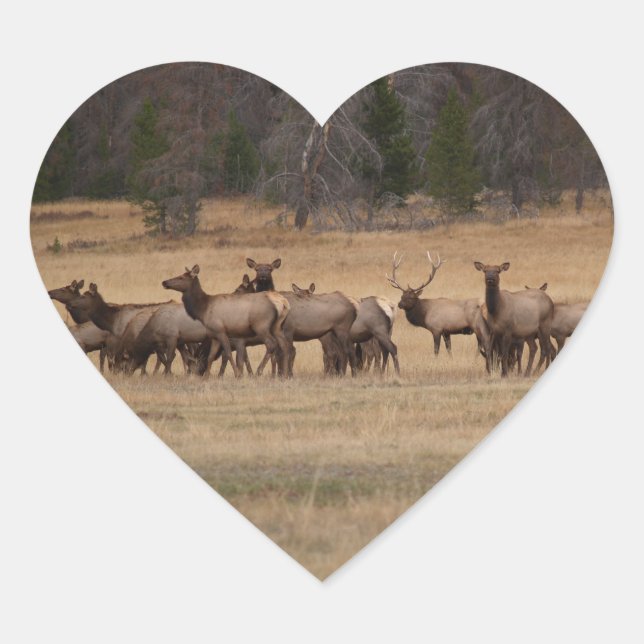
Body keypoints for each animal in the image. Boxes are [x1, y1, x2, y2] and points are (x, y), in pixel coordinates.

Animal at [161, 265, 290, 377]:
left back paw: (259, 371)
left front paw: (237, 374)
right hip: (277, 326)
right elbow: (211, 356)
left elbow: (228, 353)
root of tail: (282, 303)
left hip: (261, 326)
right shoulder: (214, 334)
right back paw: (284, 375)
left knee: (271, 344)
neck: (203, 310)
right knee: (284, 345)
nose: (164, 282)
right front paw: (206, 376)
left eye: (181, 277)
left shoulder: (221, 330)